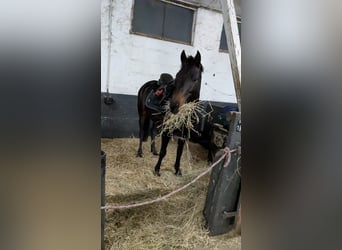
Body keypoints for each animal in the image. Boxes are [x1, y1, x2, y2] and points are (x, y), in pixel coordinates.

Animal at [137, 49, 203, 177]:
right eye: (177, 76)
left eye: (195, 79)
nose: (173, 105)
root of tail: (146, 84)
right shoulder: (167, 131)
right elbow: (164, 151)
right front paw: (157, 169)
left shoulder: (183, 133)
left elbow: (179, 152)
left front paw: (177, 170)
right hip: (143, 115)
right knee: (142, 132)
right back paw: (139, 153)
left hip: (155, 119)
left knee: (152, 131)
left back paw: (153, 151)